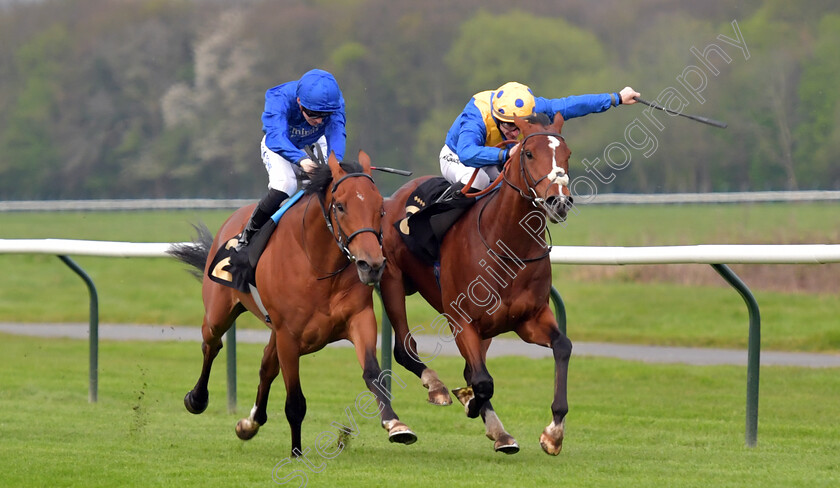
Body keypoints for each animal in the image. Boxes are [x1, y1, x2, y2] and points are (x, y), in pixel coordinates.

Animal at [171, 151, 416, 456]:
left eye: (380, 209)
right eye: (340, 206)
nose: (371, 265)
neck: (317, 265)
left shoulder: (359, 318)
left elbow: (373, 373)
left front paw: (396, 424)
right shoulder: (288, 336)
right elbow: (295, 402)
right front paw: (296, 453)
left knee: (266, 365)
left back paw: (250, 423)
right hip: (219, 312)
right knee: (211, 344)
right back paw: (196, 398)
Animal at [382, 112, 576, 456]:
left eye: (568, 155)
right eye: (528, 154)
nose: (559, 201)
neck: (508, 245)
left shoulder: (529, 318)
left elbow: (562, 346)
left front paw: (553, 433)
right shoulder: (461, 320)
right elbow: (482, 380)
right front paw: (470, 401)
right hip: (391, 280)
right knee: (405, 350)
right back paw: (436, 389)